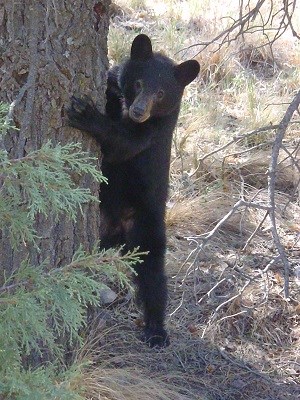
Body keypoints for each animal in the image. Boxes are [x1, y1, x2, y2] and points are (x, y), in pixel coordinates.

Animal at [67, 34, 199, 346]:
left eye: (161, 93)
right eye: (139, 83)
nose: (140, 111)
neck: (125, 106)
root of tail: (116, 232)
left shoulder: (156, 129)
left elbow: (122, 144)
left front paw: (84, 112)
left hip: (146, 226)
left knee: (153, 276)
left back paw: (156, 330)